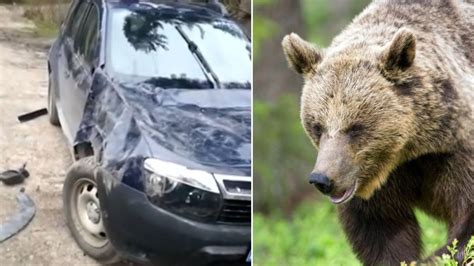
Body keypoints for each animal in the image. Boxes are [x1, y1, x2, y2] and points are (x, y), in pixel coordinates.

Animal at [284, 0, 472, 264]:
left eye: (355, 127)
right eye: (317, 126)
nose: (322, 179)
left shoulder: (453, 151)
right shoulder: (379, 183)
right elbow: (382, 232)